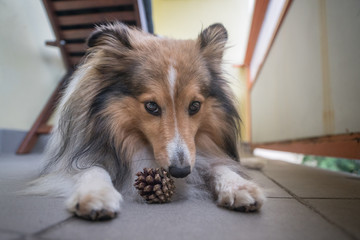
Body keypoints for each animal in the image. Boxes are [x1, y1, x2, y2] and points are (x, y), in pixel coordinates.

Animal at [31, 23, 266, 221]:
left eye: (194, 106)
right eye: (151, 106)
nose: (181, 171)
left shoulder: (201, 155)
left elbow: (220, 166)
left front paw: (239, 187)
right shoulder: (71, 161)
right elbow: (91, 169)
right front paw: (97, 194)